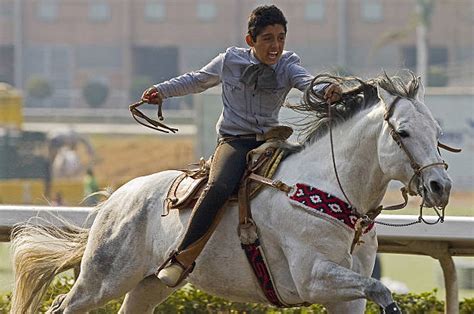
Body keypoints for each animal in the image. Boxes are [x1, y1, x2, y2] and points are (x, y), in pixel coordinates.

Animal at [9, 73, 450, 314]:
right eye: (403, 132)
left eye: (437, 131)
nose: (440, 187)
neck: (327, 193)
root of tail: (114, 201)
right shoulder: (314, 278)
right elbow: (382, 289)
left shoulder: (347, 295)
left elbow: (374, 288)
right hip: (103, 279)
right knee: (62, 306)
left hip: (148, 285)